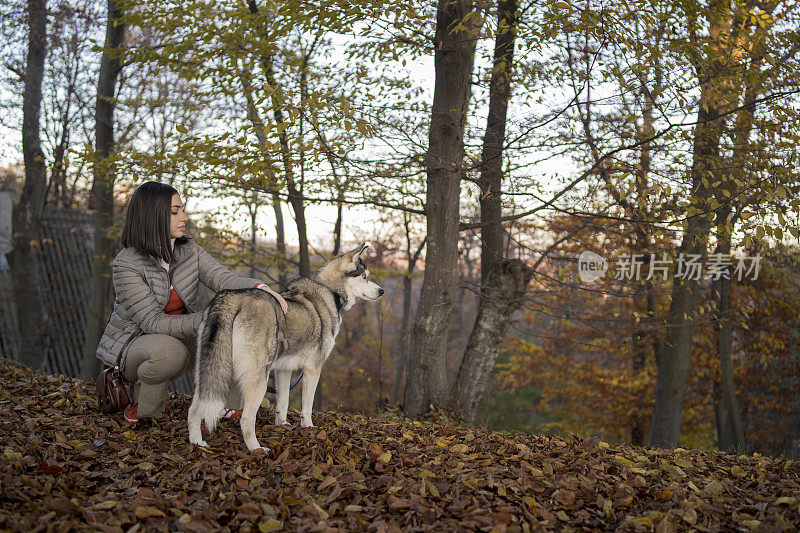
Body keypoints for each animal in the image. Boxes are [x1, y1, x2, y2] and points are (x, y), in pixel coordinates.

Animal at [191, 243, 384, 450]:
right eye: (365, 276)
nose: (382, 291)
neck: (329, 291)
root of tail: (230, 297)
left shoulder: (283, 370)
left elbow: (283, 403)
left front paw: (282, 425)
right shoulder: (313, 369)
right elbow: (307, 407)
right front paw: (309, 428)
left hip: (209, 373)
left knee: (194, 409)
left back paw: (197, 443)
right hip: (257, 379)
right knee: (246, 419)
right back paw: (256, 449)